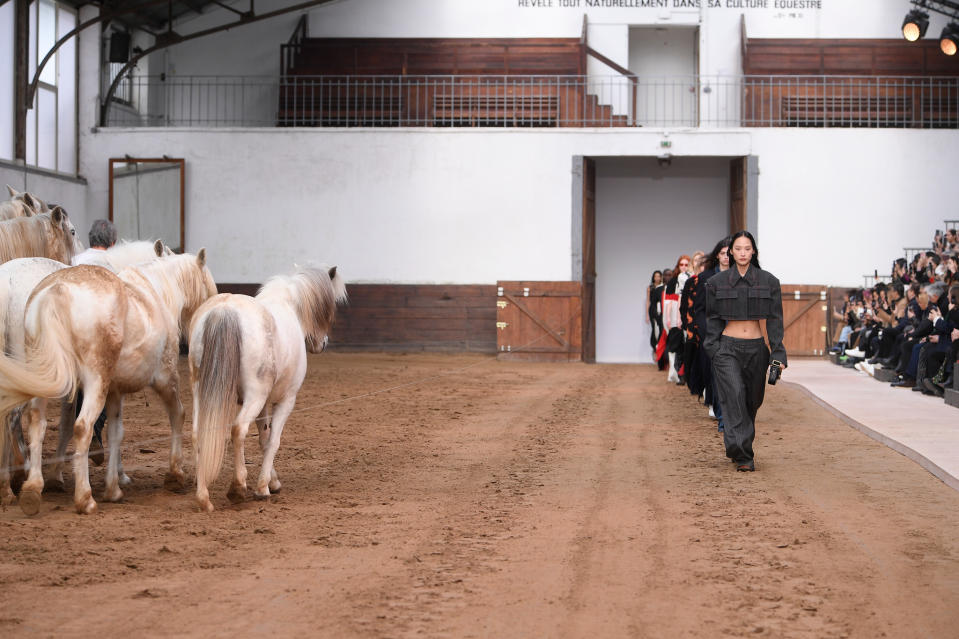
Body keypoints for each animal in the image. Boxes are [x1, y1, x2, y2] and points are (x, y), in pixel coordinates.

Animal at [0, 250, 216, 516]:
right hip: (94, 383)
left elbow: (115, 432)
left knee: (36, 424)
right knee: (81, 427)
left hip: (44, 381)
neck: (155, 292)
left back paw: (31, 488)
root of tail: (57, 291)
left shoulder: (114, 391)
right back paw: (84, 498)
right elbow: (178, 415)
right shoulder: (165, 379)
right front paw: (175, 474)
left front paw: (113, 488)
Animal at [188, 262, 344, 512]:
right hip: (254, 397)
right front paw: (263, 488)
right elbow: (273, 441)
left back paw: (203, 497)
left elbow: (263, 438)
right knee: (238, 429)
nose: (323, 343)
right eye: (328, 312)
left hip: (201, 393)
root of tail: (225, 310)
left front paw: (273, 481)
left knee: (198, 434)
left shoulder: (262, 406)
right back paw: (238, 487)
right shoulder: (285, 401)